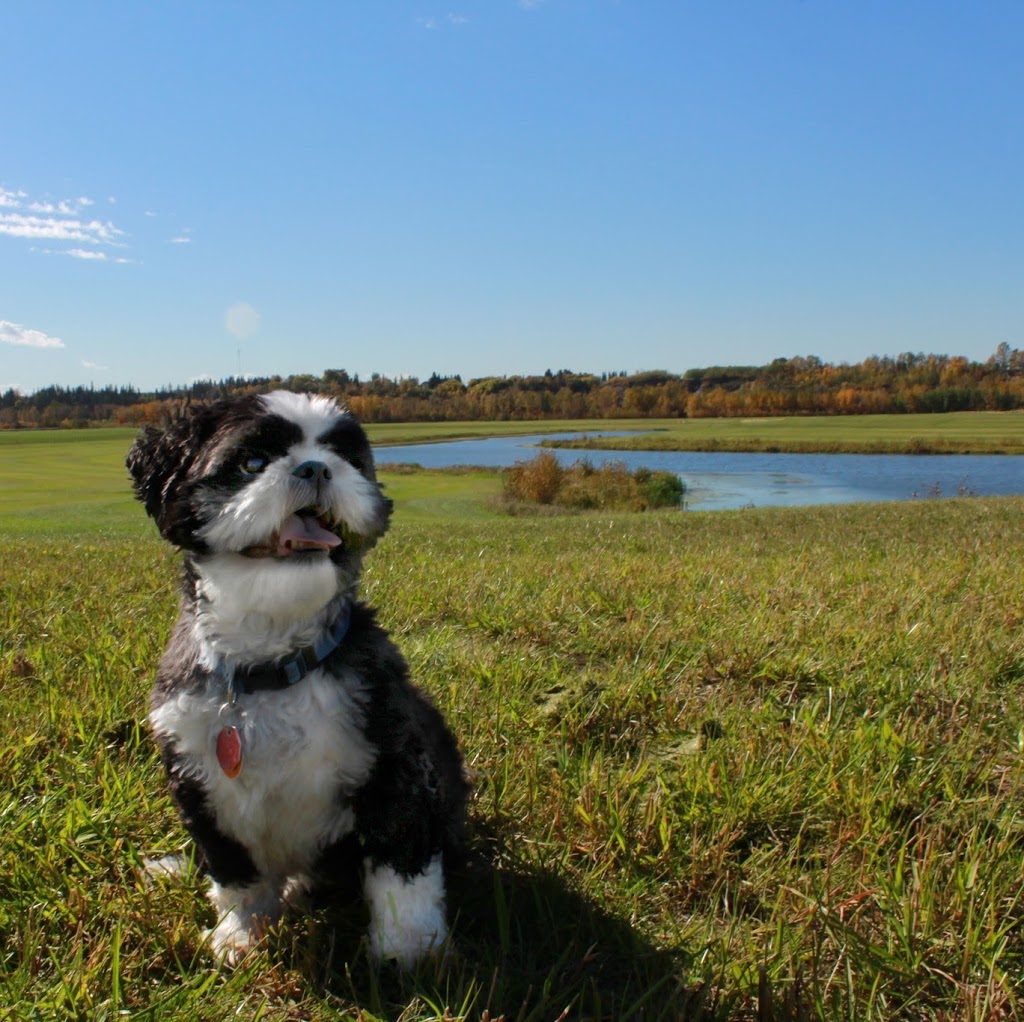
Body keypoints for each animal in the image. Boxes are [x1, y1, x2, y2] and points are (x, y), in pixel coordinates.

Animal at [124, 389, 471, 966]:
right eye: (252, 462)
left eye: (346, 457)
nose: (315, 467)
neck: (272, 667)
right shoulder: (197, 779)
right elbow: (235, 874)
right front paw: (240, 933)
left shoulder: (394, 762)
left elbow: (401, 864)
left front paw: (408, 949)